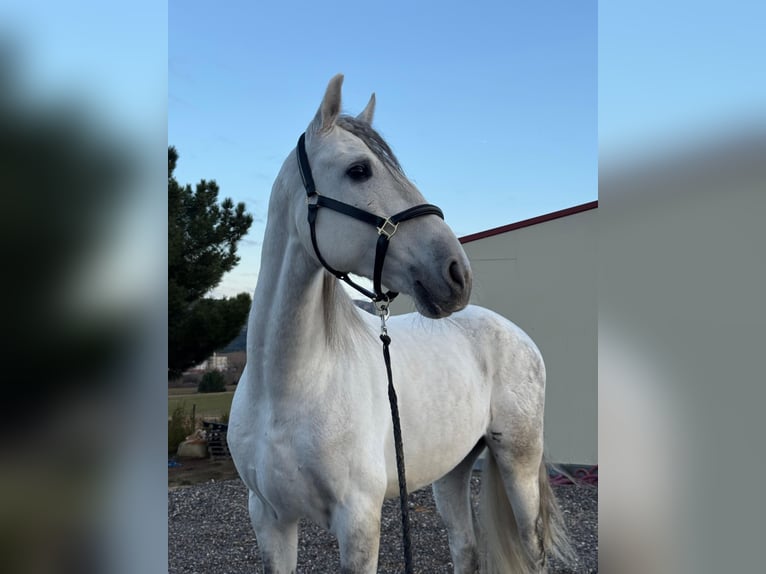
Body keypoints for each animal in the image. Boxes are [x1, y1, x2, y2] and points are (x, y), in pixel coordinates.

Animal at [228, 74, 574, 573]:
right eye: (359, 170)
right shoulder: (270, 520)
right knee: (465, 548)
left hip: (519, 465)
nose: (456, 273)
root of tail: (517, 336)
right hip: (452, 469)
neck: (287, 387)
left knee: (532, 549)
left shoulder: (358, 523)